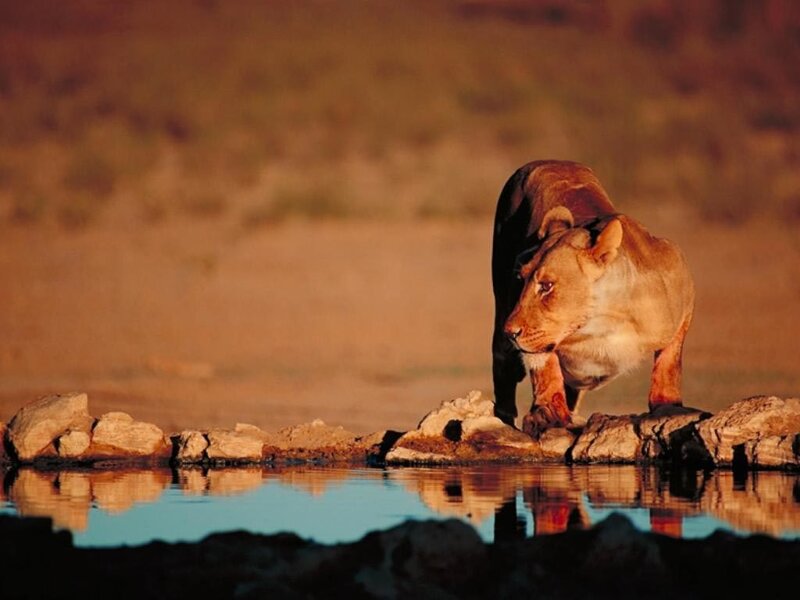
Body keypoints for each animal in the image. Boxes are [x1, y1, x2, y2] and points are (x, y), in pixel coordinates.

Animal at [491, 160, 695, 437]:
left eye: (546, 286)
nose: (511, 331)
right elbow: (544, 366)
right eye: (520, 279)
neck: (601, 322)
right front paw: (547, 414)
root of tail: (549, 161)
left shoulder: (681, 286)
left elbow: (670, 362)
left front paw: (668, 406)